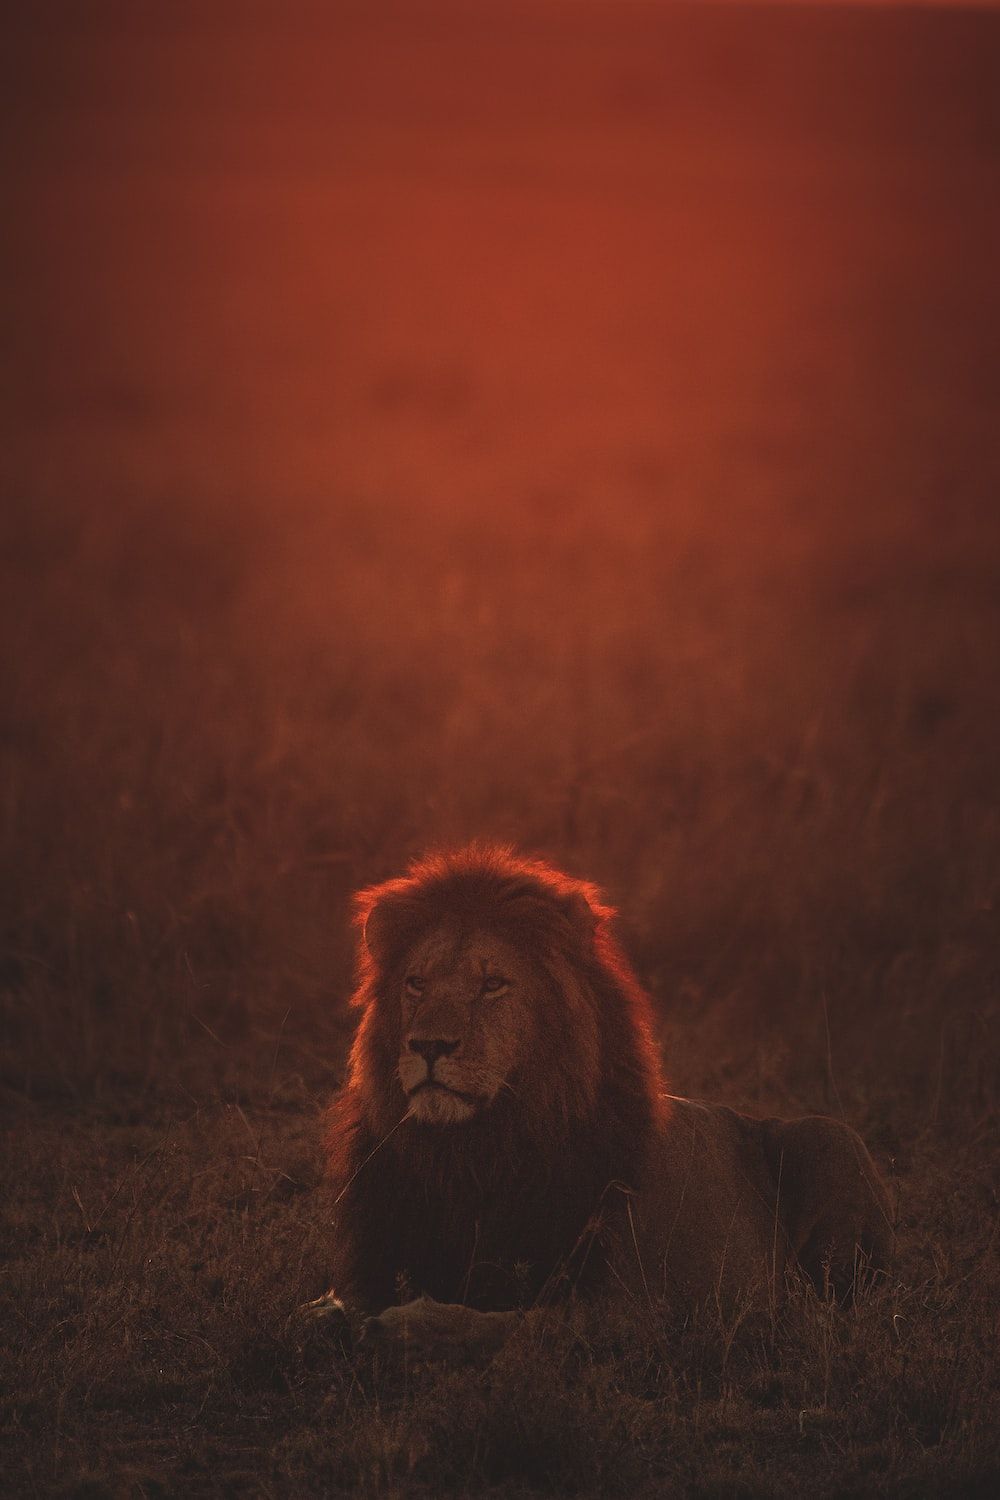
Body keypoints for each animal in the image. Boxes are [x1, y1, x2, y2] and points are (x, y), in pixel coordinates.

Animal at [305, 845, 893, 1355]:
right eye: (416, 983)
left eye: (493, 984)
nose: (428, 1046)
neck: (472, 1154)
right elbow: (326, 1310)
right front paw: (344, 1318)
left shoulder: (636, 1308)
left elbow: (518, 1325)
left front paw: (407, 1326)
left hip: (831, 1138)